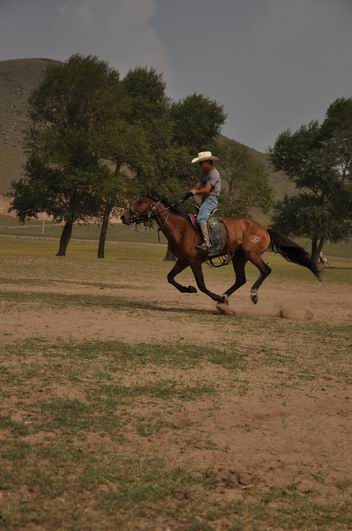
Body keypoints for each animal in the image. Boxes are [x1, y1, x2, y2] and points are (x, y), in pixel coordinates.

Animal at [121, 193, 322, 306]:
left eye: (140, 201)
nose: (124, 217)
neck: (181, 228)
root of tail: (264, 230)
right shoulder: (183, 261)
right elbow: (170, 277)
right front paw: (188, 289)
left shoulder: (194, 262)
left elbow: (202, 285)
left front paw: (212, 295)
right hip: (239, 258)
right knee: (240, 279)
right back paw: (225, 297)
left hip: (252, 254)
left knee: (265, 270)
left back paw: (251, 295)